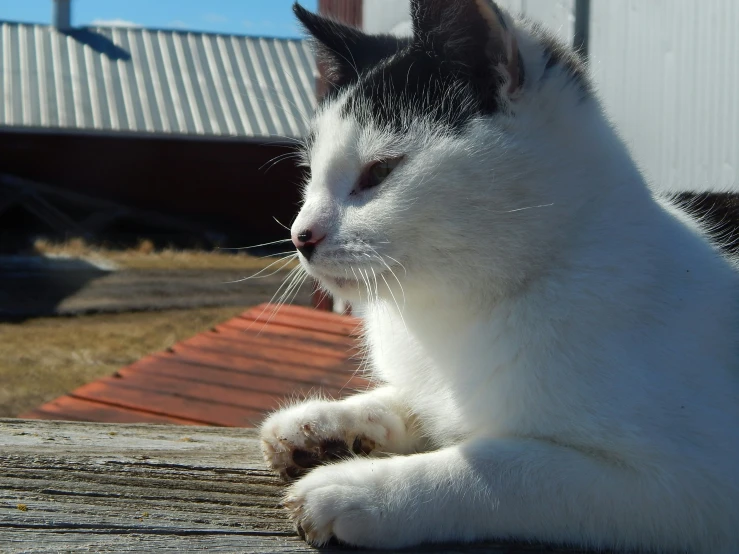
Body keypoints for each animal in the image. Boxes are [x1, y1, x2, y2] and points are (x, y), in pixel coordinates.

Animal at [258, 2, 739, 548]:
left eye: (379, 171)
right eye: (311, 175)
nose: (301, 235)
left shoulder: (697, 482)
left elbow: (502, 466)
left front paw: (358, 489)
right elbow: (413, 402)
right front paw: (323, 424)